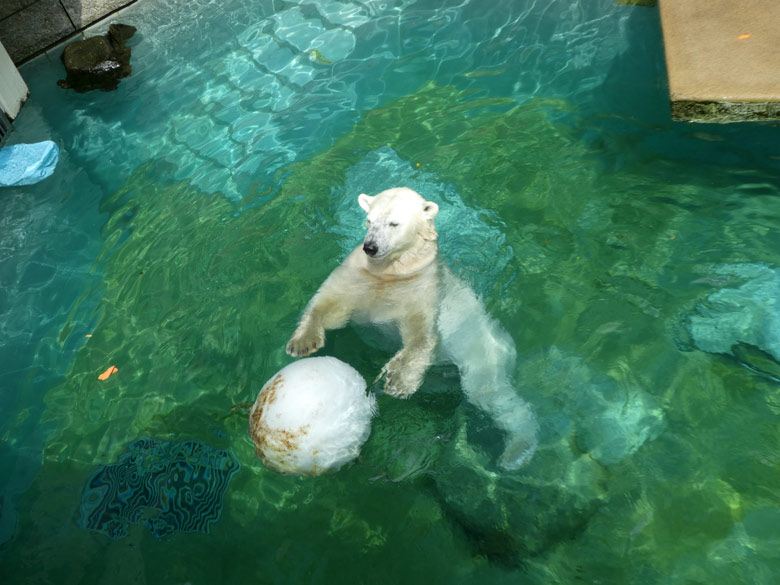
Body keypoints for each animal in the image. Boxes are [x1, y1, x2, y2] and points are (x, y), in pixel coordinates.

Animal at [284, 187, 536, 470]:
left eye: (394, 223)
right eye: (369, 220)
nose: (370, 247)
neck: (393, 272)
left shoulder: (423, 287)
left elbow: (421, 334)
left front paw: (399, 381)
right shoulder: (359, 274)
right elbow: (329, 304)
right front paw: (303, 342)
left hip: (483, 349)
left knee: (491, 393)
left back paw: (517, 451)